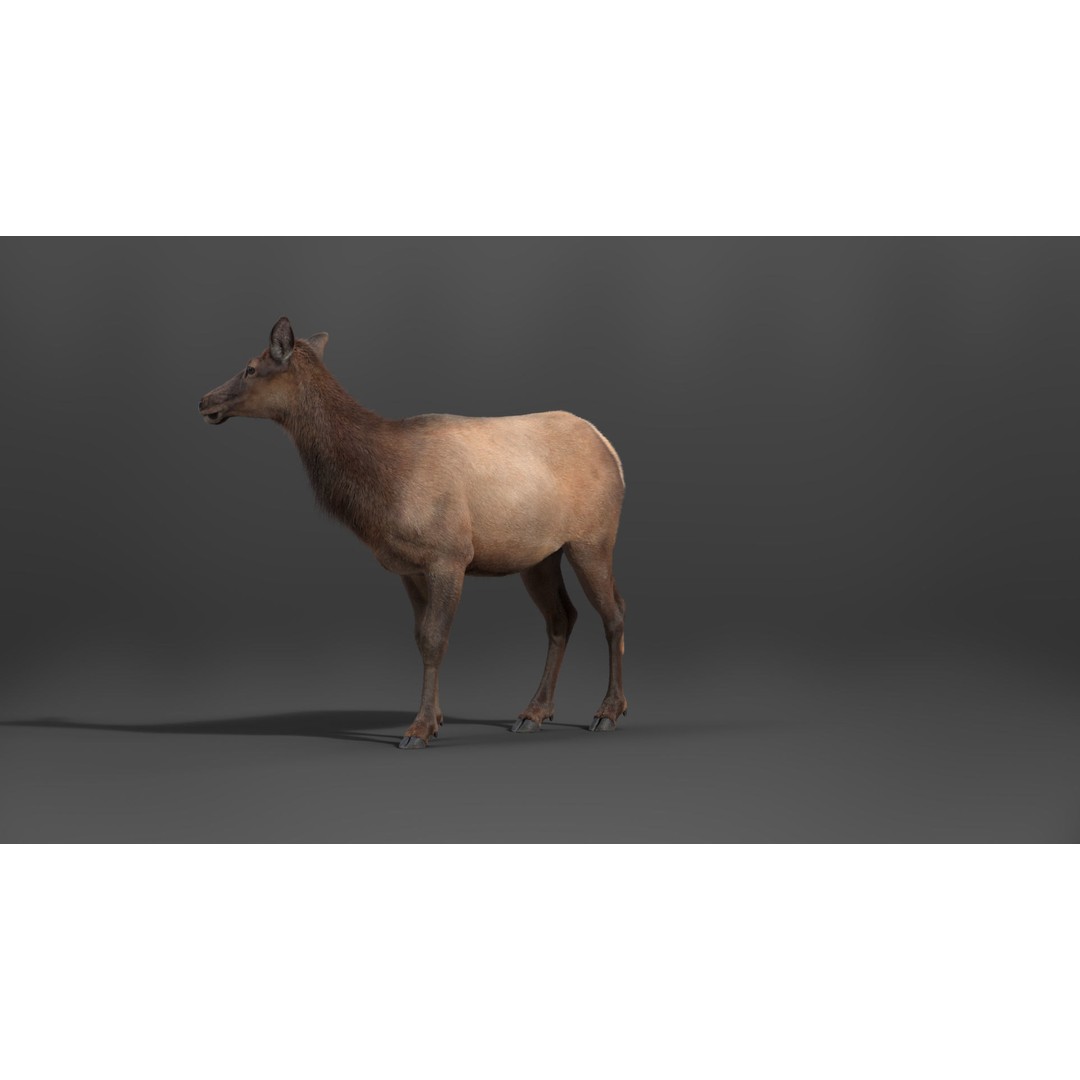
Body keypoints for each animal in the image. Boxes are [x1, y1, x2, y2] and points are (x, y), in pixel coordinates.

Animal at [198, 317, 628, 749]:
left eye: (251, 368)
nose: (203, 401)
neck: (382, 487)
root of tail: (612, 452)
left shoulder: (449, 555)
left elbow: (436, 640)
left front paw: (419, 729)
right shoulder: (409, 568)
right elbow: (420, 638)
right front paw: (434, 719)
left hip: (593, 539)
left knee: (613, 613)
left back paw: (608, 712)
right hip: (539, 556)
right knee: (562, 617)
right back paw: (534, 713)